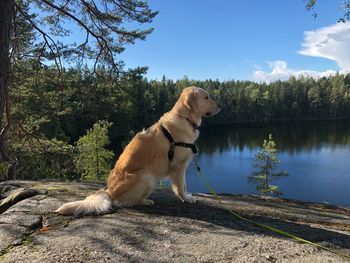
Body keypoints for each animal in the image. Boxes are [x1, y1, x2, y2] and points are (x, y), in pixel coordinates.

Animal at [56, 86, 221, 217]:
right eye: (206, 97)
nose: (220, 105)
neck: (184, 118)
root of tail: (110, 192)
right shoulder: (178, 167)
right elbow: (180, 187)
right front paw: (186, 199)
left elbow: (184, 186)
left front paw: (187, 196)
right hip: (147, 177)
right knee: (125, 202)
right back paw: (146, 201)